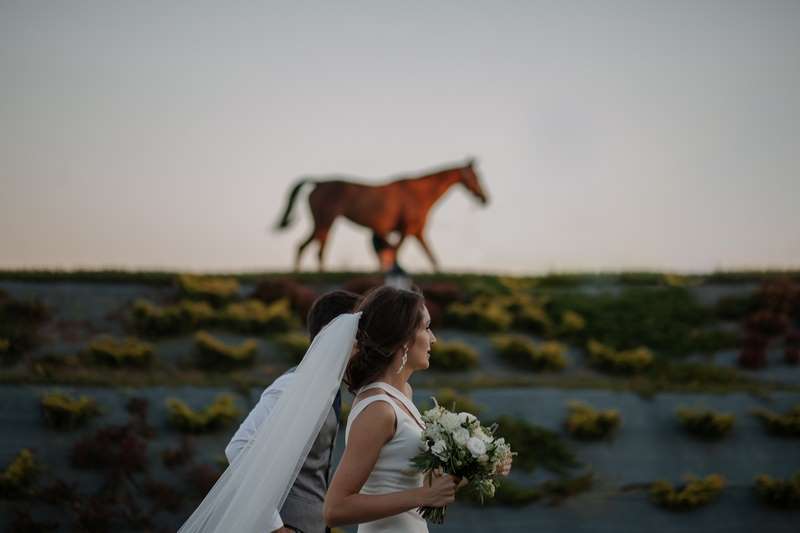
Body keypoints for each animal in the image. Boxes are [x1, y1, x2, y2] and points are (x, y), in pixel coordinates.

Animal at [274, 159, 488, 272]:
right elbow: (397, 253)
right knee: (317, 248)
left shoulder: (417, 231)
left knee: (304, 246)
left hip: (321, 223)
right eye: (476, 176)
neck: (419, 194)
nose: (486, 198)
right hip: (326, 221)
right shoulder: (409, 229)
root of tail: (318, 182)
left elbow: (430, 256)